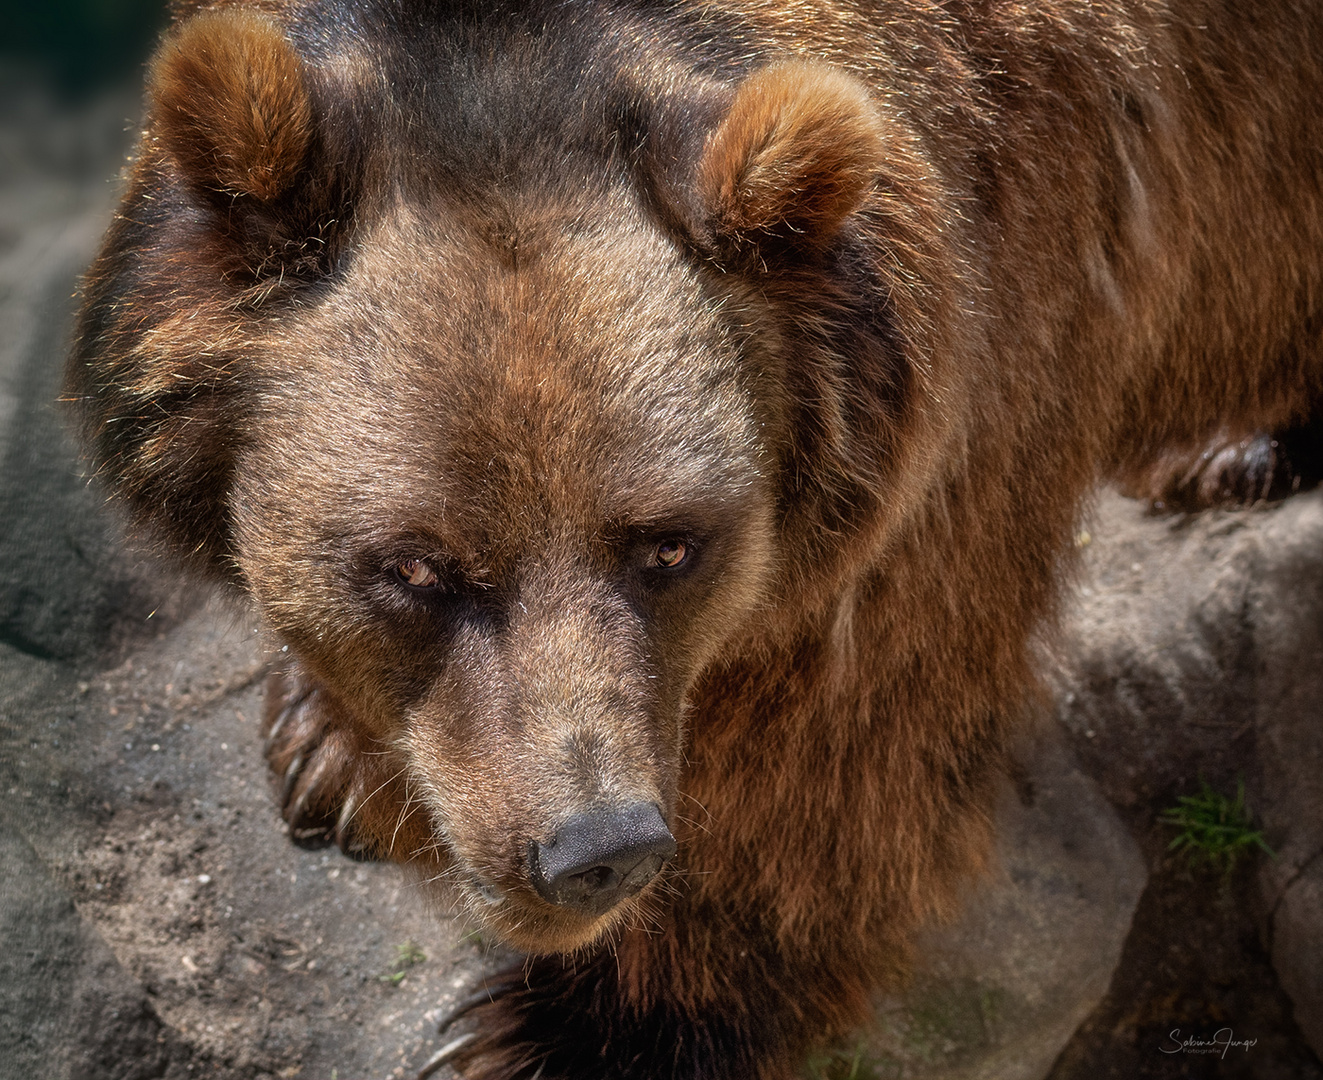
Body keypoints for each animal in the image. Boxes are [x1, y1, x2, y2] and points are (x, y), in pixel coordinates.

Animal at [67, 2, 1323, 1080]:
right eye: (417, 565)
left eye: (669, 545)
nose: (593, 848)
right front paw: (326, 745)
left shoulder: (977, 382)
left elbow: (841, 738)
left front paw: (552, 1032)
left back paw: (1233, 445)